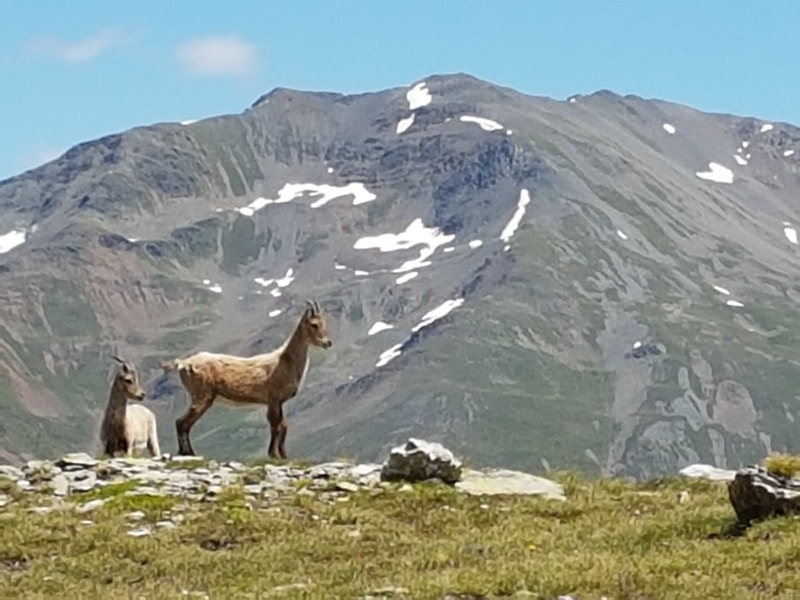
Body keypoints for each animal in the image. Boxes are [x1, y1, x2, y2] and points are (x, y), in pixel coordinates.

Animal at [162, 300, 333, 459]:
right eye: (314, 324)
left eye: (324, 322)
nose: (328, 343)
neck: (286, 361)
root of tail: (183, 363)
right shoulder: (273, 398)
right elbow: (276, 425)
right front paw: (274, 455)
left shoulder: (277, 402)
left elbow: (282, 425)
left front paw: (282, 455)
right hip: (202, 395)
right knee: (182, 422)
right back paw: (189, 453)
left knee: (183, 423)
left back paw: (187, 452)